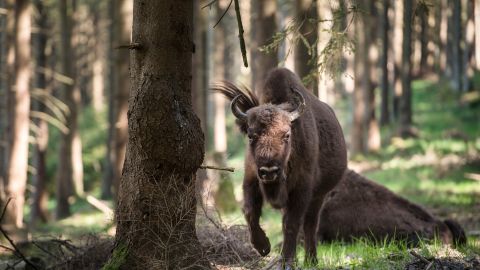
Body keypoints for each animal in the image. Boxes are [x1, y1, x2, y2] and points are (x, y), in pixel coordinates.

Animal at [213, 68, 344, 268]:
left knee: (310, 224)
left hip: (319, 195)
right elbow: (250, 212)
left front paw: (287, 262)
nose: (269, 171)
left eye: (286, 135)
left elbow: (292, 224)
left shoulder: (302, 191)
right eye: (251, 135)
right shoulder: (251, 181)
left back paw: (311, 260)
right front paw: (263, 247)